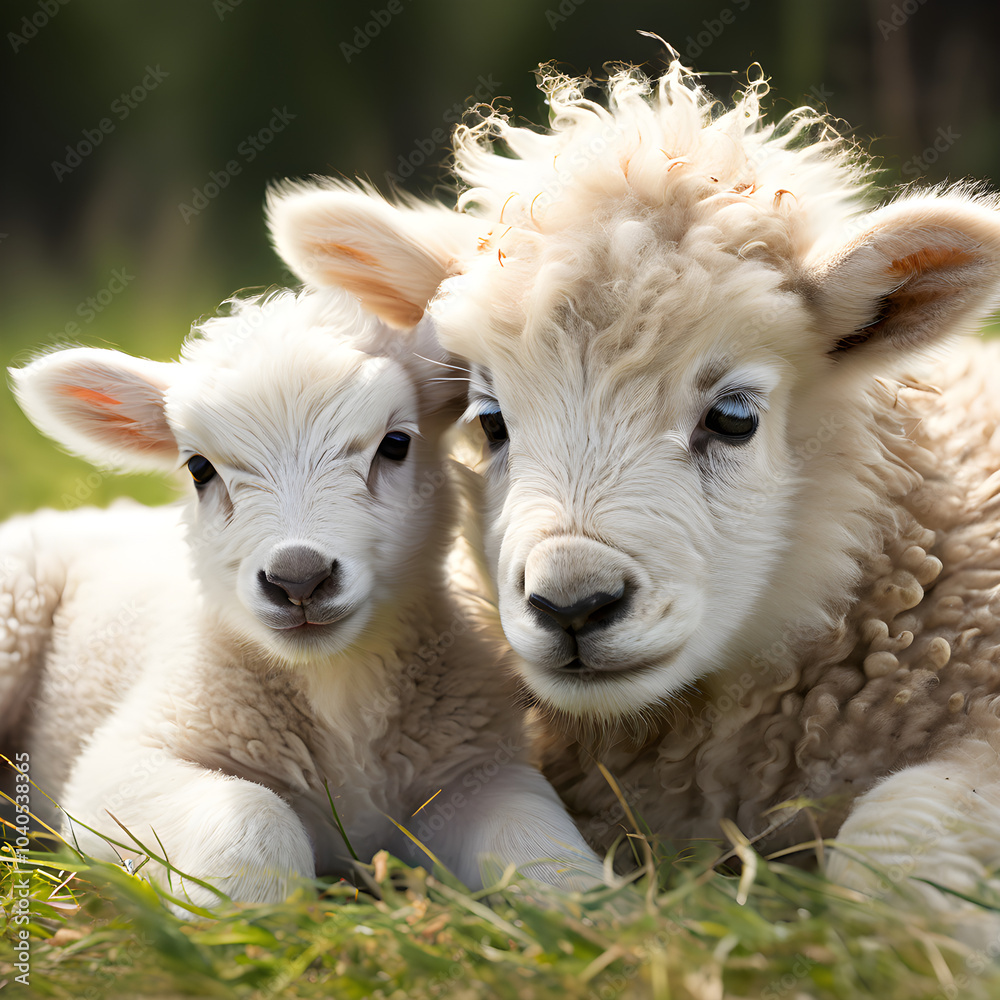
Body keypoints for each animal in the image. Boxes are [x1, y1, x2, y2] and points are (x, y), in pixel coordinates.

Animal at [1, 286, 603, 908]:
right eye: (199, 468)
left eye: (395, 444)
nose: (298, 579)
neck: (338, 686)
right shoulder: (126, 762)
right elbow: (252, 819)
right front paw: (245, 910)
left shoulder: (475, 768)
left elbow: (541, 847)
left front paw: (596, 910)